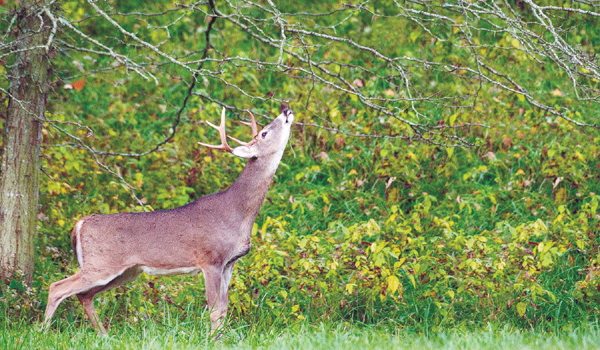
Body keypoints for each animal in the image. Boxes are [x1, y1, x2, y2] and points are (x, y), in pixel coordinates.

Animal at [42, 104, 296, 336]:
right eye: (264, 133)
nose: (286, 110)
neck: (237, 211)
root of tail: (80, 223)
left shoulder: (229, 263)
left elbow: (224, 309)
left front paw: (222, 338)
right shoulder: (210, 259)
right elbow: (215, 310)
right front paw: (213, 340)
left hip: (125, 271)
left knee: (84, 295)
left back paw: (104, 336)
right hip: (101, 263)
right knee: (57, 287)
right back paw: (43, 332)